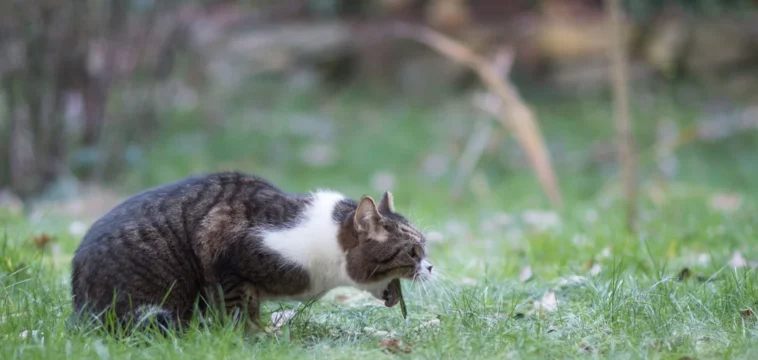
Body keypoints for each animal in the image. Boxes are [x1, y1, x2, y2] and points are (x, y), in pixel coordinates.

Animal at [71, 173, 434, 334]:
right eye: (414, 251)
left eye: (425, 247)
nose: (431, 267)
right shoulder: (227, 256)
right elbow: (239, 309)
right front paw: (253, 338)